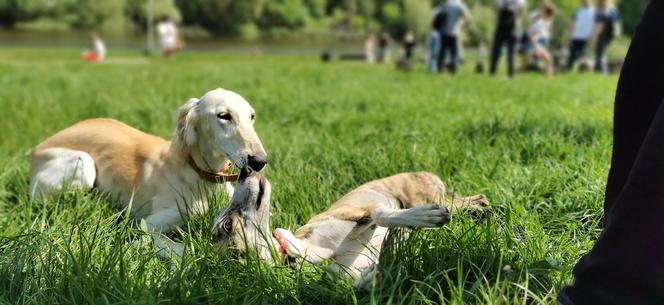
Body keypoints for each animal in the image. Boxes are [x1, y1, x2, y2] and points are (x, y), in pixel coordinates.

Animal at [28, 88, 268, 233]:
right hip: (83, 164)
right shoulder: (148, 226)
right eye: (223, 116)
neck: (201, 176)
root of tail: (35, 150)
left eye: (252, 116)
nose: (260, 161)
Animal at [211, 171, 488, 288]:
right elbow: (358, 282)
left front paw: (423, 217)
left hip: (432, 196)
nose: (244, 170)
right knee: (476, 200)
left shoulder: (360, 210)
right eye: (227, 224)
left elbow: (382, 215)